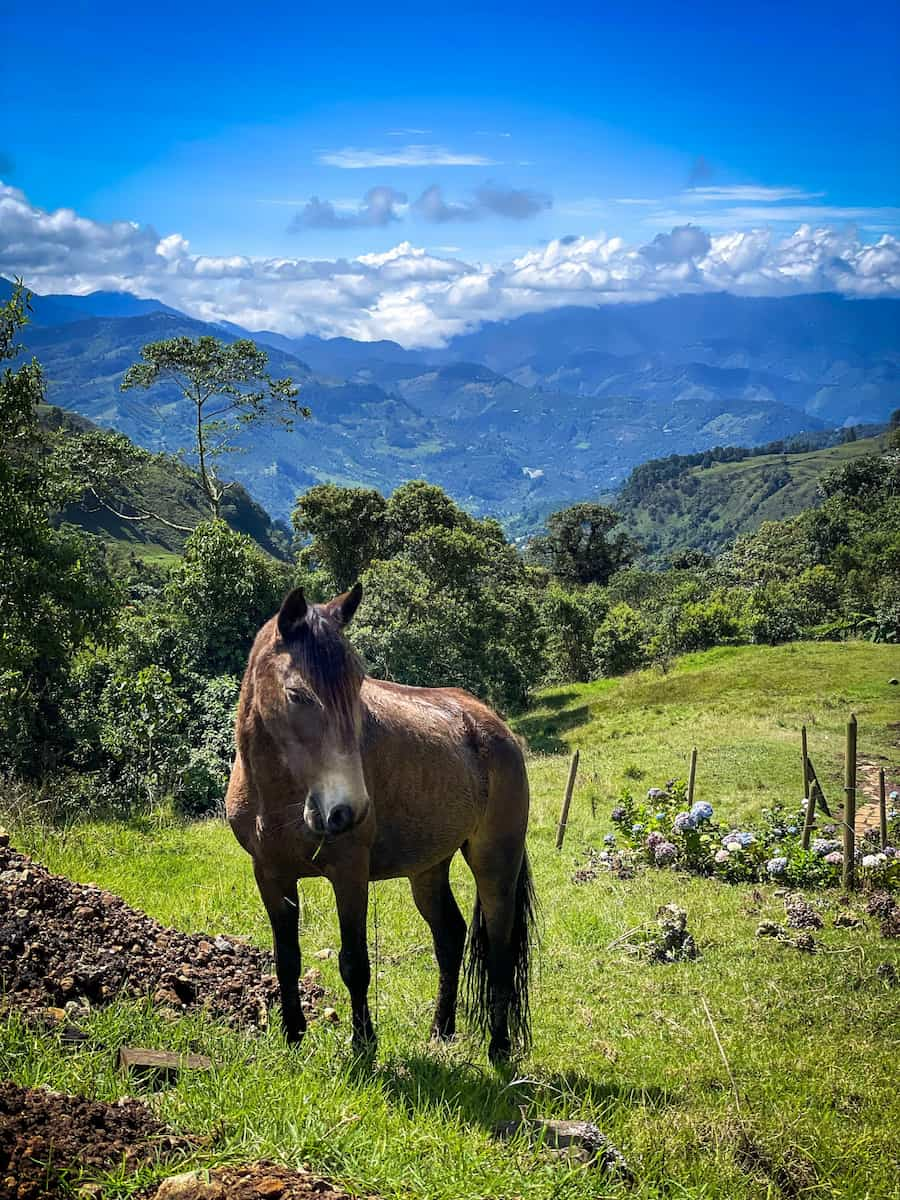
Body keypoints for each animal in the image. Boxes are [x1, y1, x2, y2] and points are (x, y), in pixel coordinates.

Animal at [225, 580, 535, 1060]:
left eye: (357, 687)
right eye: (297, 695)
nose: (346, 810)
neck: (277, 796)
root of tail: (492, 724)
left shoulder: (349, 873)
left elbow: (354, 962)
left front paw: (363, 1043)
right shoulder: (270, 874)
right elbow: (286, 958)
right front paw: (293, 1036)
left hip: (495, 863)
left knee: (499, 947)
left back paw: (499, 1046)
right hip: (429, 868)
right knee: (450, 936)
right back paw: (441, 1029)